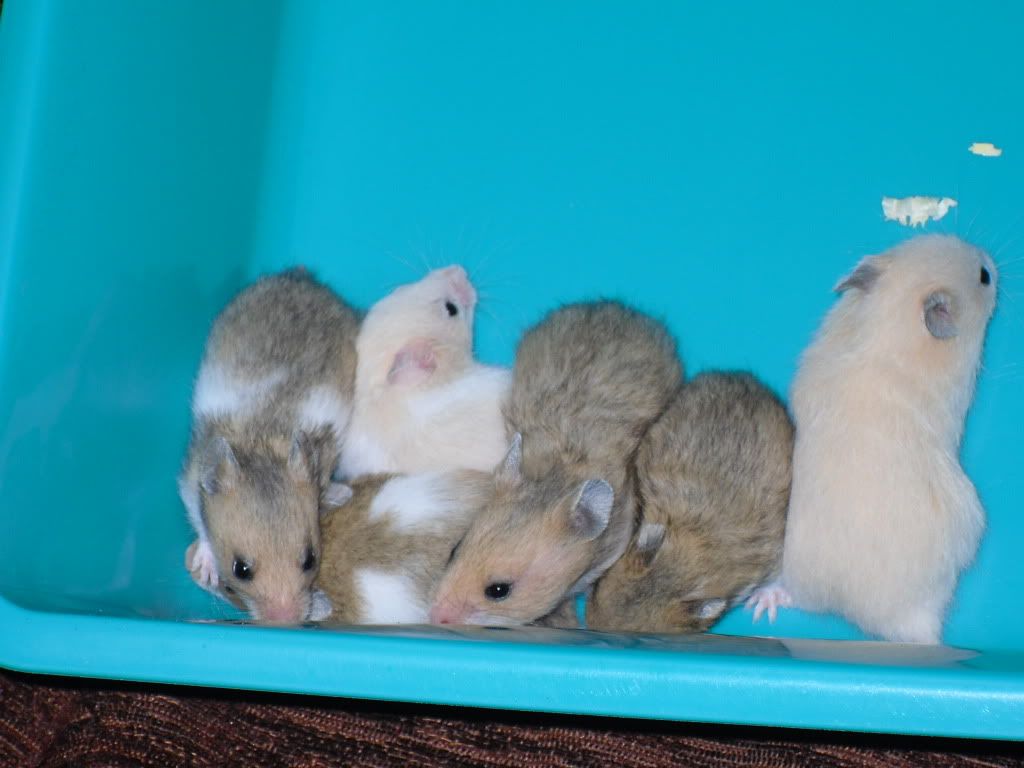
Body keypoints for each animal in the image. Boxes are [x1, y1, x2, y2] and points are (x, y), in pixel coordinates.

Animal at [178, 269, 359, 624]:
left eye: (310, 559)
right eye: (240, 569)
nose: (286, 621)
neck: (261, 443)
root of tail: (300, 274)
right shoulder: (190, 481)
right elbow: (201, 522)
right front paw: (206, 568)